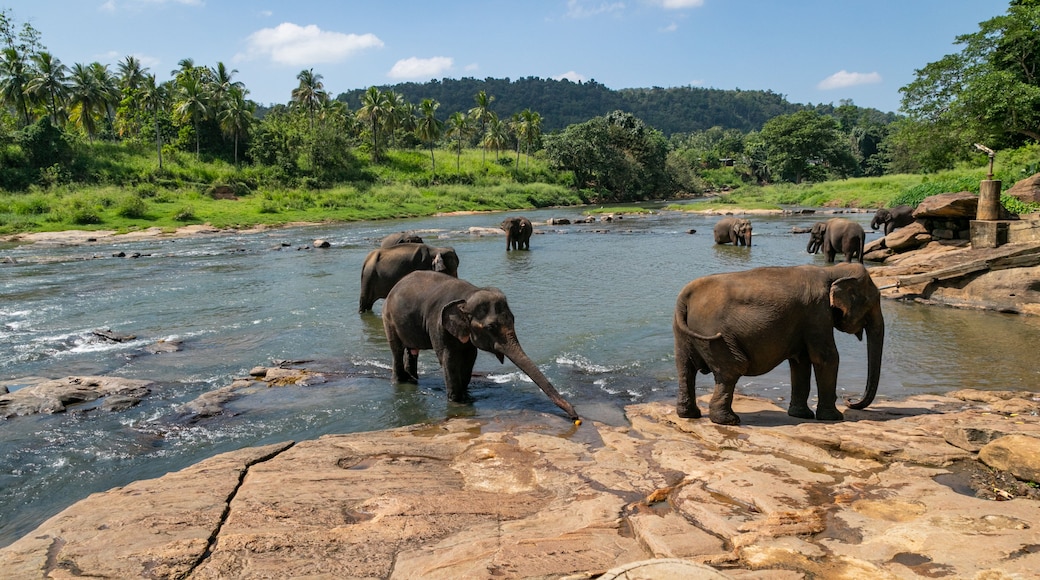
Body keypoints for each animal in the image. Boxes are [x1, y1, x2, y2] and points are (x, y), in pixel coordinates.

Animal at [382, 270, 579, 420]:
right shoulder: (437, 324)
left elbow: (469, 359)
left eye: (513, 319)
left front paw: (466, 396)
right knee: (397, 349)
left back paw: (412, 379)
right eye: (491, 327)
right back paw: (400, 381)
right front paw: (456, 401)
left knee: (411, 350)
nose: (576, 416)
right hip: (388, 318)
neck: (469, 296)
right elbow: (448, 359)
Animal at [673, 262, 884, 425]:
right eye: (871, 301)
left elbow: (800, 361)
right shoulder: (817, 313)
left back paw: (690, 415)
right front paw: (834, 418)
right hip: (715, 334)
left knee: (685, 367)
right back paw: (729, 421)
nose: (849, 400)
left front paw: (801, 415)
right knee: (732, 368)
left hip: (682, 330)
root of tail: (685, 295)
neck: (831, 271)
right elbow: (826, 358)